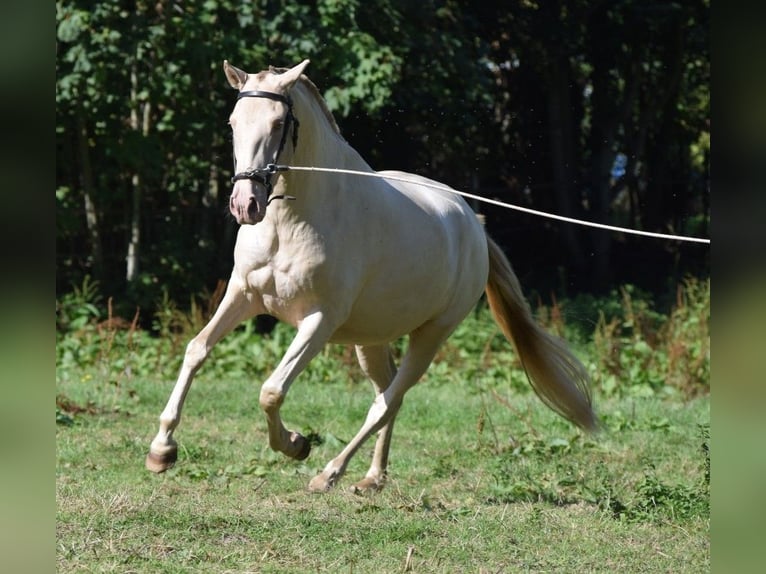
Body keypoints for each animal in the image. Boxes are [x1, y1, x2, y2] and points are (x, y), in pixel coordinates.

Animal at [146, 59, 597, 493]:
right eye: (233, 123)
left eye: (277, 123)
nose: (245, 205)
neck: (294, 220)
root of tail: (474, 226)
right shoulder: (243, 295)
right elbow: (196, 350)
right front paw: (162, 450)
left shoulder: (319, 321)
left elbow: (271, 391)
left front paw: (295, 444)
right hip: (372, 339)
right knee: (388, 394)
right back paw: (372, 478)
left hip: (431, 335)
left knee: (386, 402)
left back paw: (330, 474)